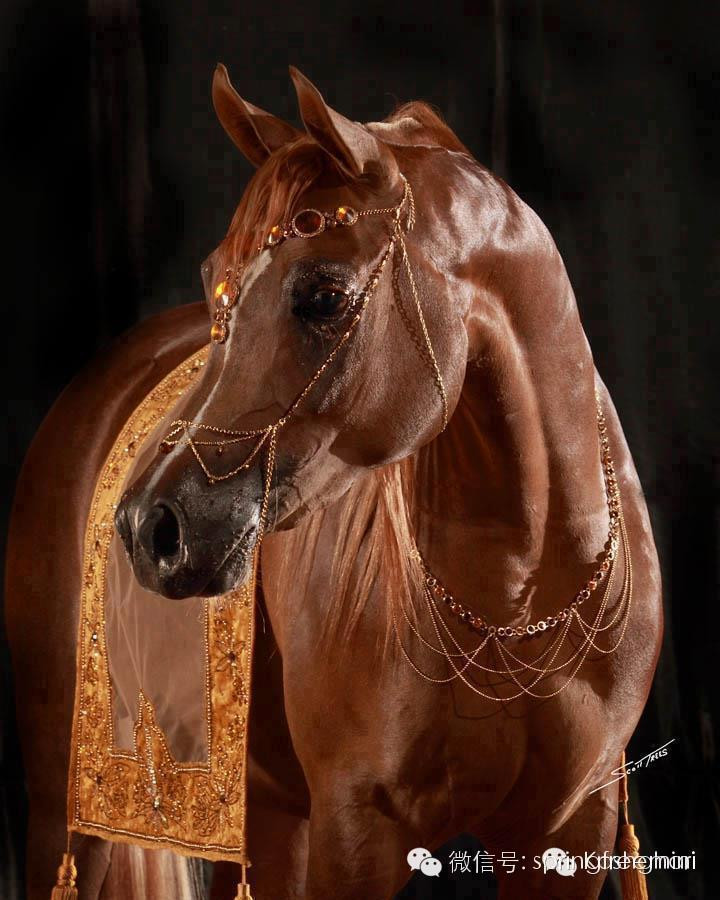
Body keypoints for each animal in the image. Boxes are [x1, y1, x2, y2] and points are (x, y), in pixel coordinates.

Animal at [5, 64, 662, 900]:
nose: (147, 527)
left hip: (264, 814)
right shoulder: (356, 834)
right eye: (215, 281)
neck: (518, 601)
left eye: (323, 295)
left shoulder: (569, 835)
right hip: (67, 808)